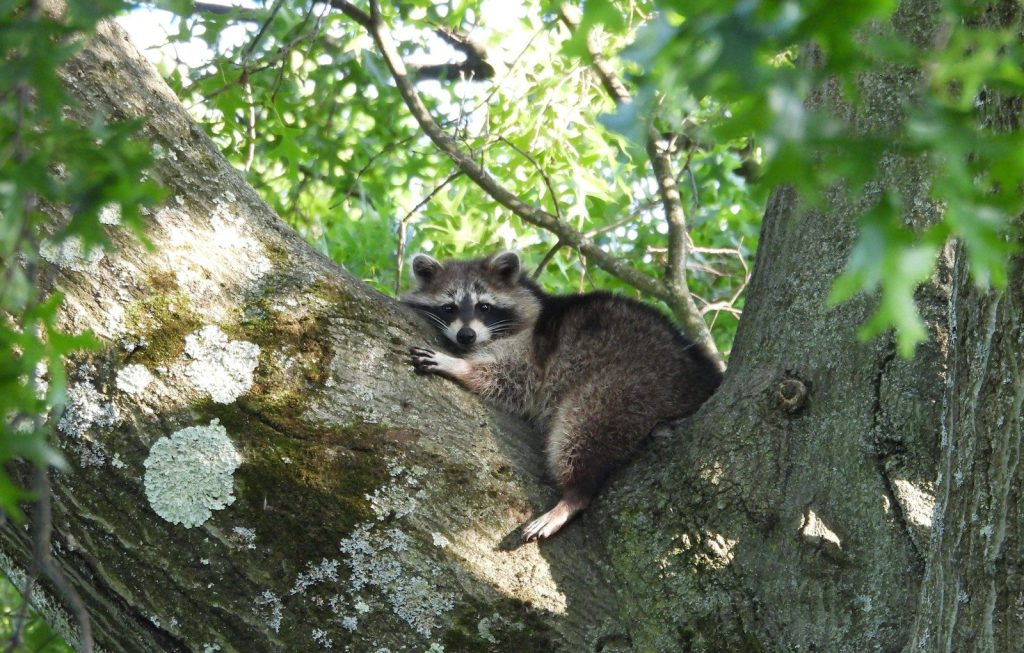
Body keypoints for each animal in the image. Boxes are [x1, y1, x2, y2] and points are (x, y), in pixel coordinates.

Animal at [402, 251, 722, 540]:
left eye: (484, 307)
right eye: (449, 307)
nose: (466, 336)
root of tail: (702, 381)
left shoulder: (532, 352)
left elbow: (510, 378)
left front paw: (459, 366)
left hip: (627, 386)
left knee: (578, 428)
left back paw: (574, 494)